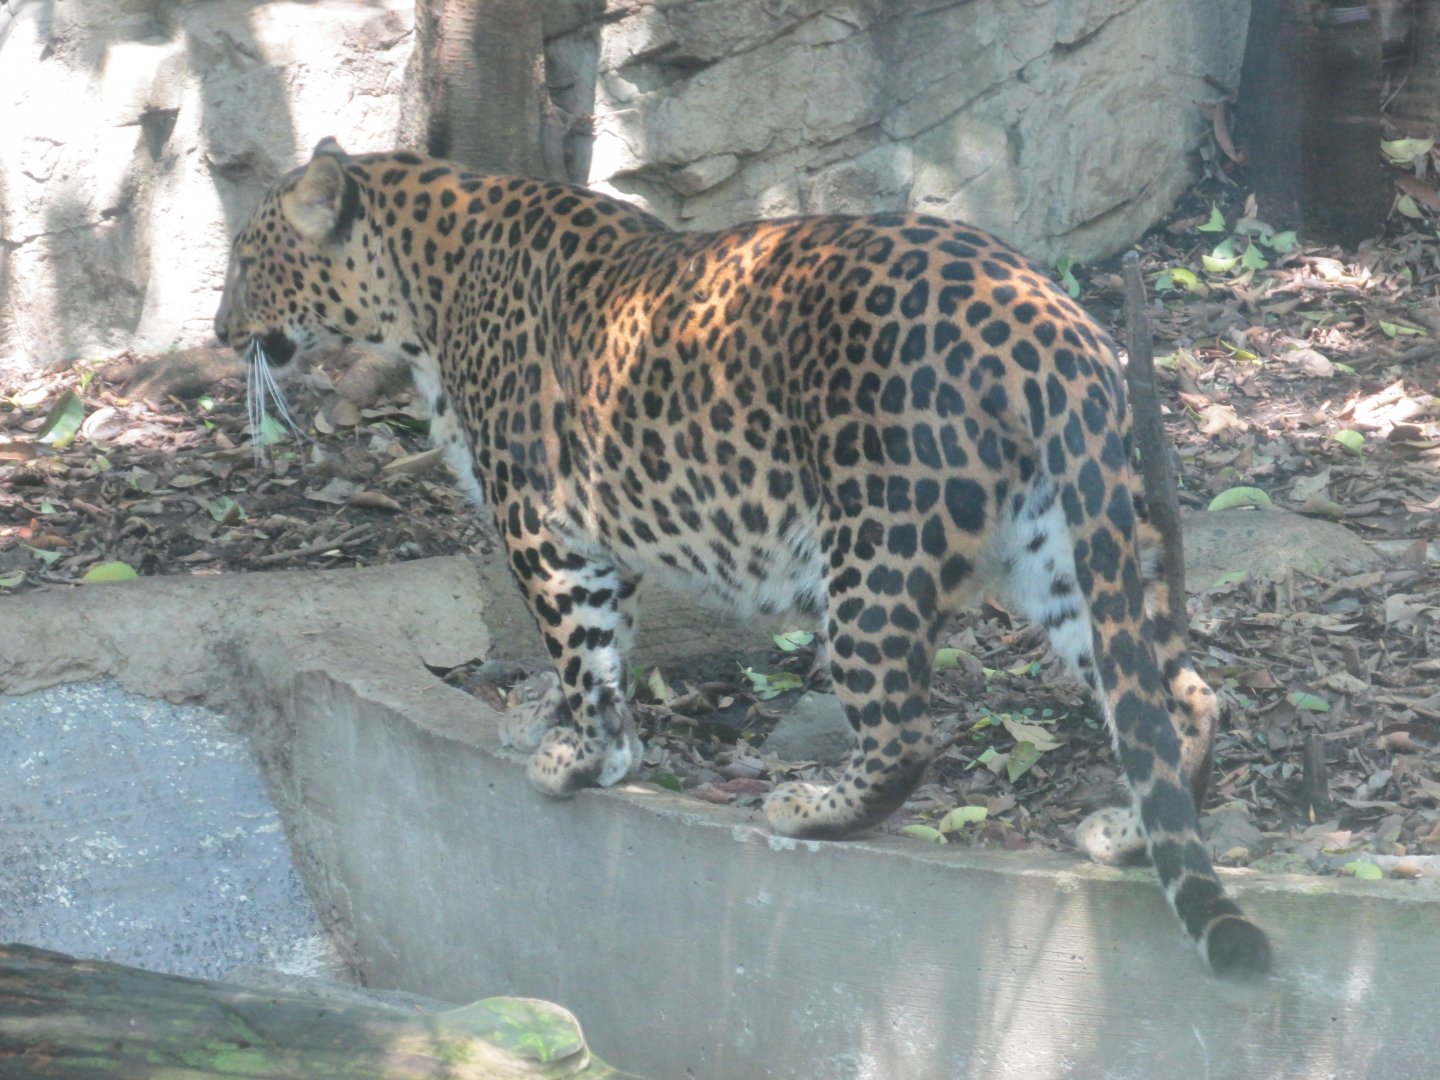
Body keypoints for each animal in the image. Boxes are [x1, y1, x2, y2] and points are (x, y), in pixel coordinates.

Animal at [215, 138, 1272, 981]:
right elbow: (604, 647)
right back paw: (1129, 831)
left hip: (873, 551)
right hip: (1065, 551)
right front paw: (584, 741)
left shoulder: (540, 524)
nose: (221, 335)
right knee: (1177, 694)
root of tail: (1048, 315)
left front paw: (577, 757)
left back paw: (809, 807)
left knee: (907, 732)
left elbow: (578, 648)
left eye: (243, 258)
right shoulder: (600, 530)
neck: (420, 289)